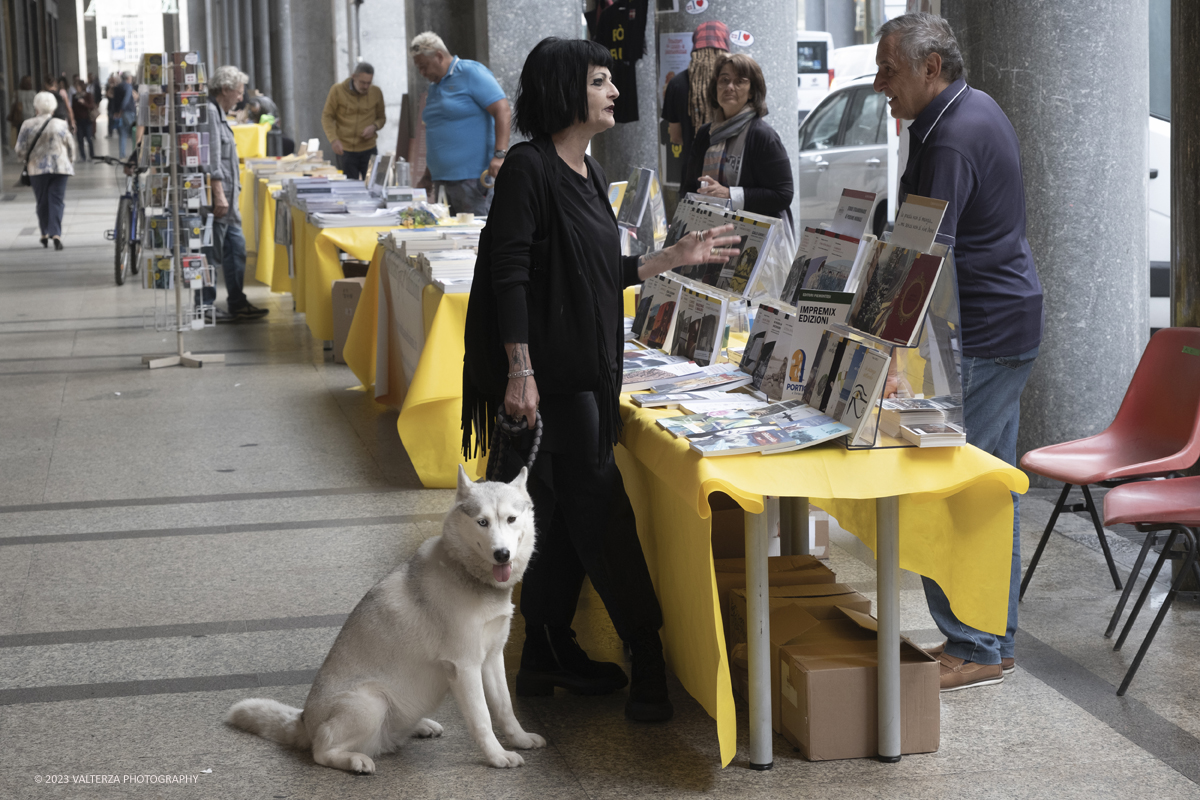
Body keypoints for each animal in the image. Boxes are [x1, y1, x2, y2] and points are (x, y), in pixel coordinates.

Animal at [224, 465, 544, 772]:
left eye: (511, 519)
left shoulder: (492, 658)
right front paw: (497, 756)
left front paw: (520, 739)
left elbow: (504, 708)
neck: (467, 573)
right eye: (482, 522)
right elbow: (482, 719)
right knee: (322, 750)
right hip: (371, 701)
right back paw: (354, 760)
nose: (502, 554)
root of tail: (304, 721)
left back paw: (420, 726)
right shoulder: (465, 666)